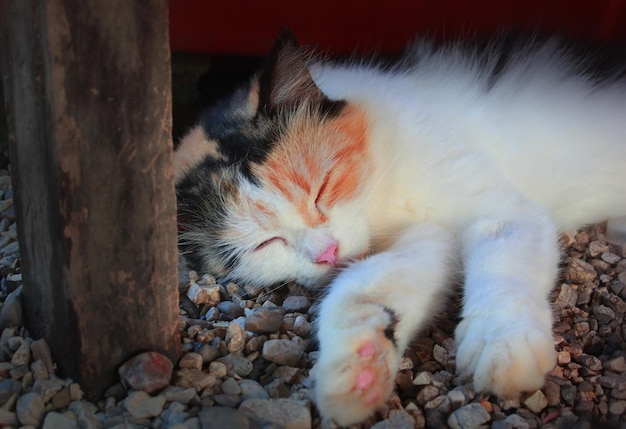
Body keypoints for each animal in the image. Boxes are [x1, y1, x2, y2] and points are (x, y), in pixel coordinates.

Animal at [173, 32, 624, 424]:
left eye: (322, 189)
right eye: (265, 244)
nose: (328, 252)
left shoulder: (499, 212)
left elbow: (503, 273)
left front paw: (502, 347)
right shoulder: (427, 239)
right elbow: (363, 286)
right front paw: (359, 367)